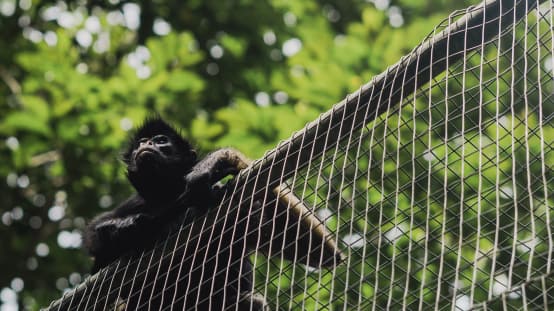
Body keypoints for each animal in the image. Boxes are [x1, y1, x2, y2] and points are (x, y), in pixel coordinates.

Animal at [83, 117, 340, 311]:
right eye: (141, 143)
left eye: (161, 140)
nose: (147, 144)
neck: (167, 194)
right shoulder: (135, 203)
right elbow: (94, 238)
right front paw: (125, 226)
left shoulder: (233, 206)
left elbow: (324, 252)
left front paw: (217, 160)